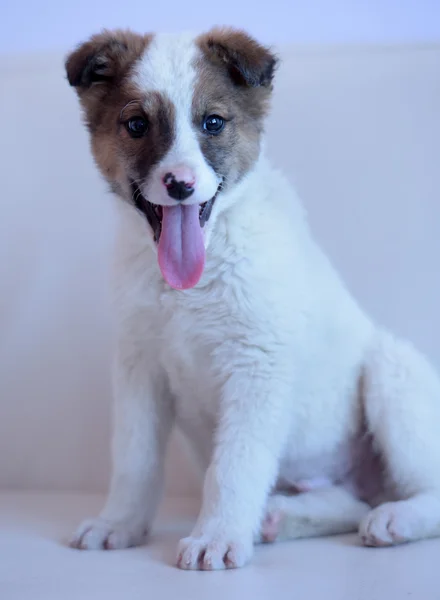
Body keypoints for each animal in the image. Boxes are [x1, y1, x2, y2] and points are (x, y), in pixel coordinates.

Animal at [65, 29, 440, 572]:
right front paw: (120, 523)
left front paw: (217, 536)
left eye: (213, 123)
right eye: (136, 125)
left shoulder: (257, 367)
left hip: (392, 373)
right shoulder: (140, 368)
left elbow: (234, 467)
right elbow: (135, 460)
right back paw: (282, 516)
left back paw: (396, 518)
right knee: (349, 502)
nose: (180, 185)